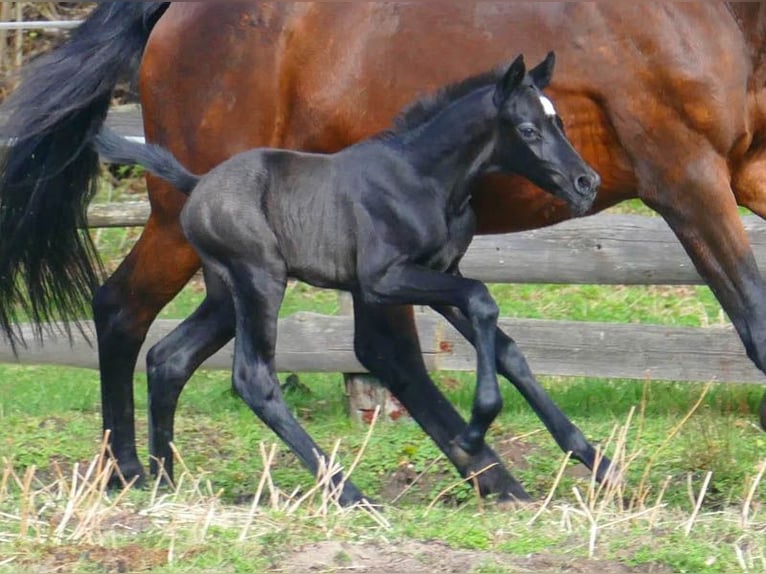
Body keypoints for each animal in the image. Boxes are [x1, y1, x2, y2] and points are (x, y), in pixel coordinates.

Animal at [1, 2, 766, 500]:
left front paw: (591, 458)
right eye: (527, 126)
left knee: (175, 352)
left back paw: (162, 474)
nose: (585, 182)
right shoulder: (686, 174)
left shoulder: (741, 167)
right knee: (156, 324)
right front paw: (492, 430)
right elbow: (752, 320)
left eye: (558, 120)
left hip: (231, 284)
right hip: (225, 259)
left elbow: (505, 342)